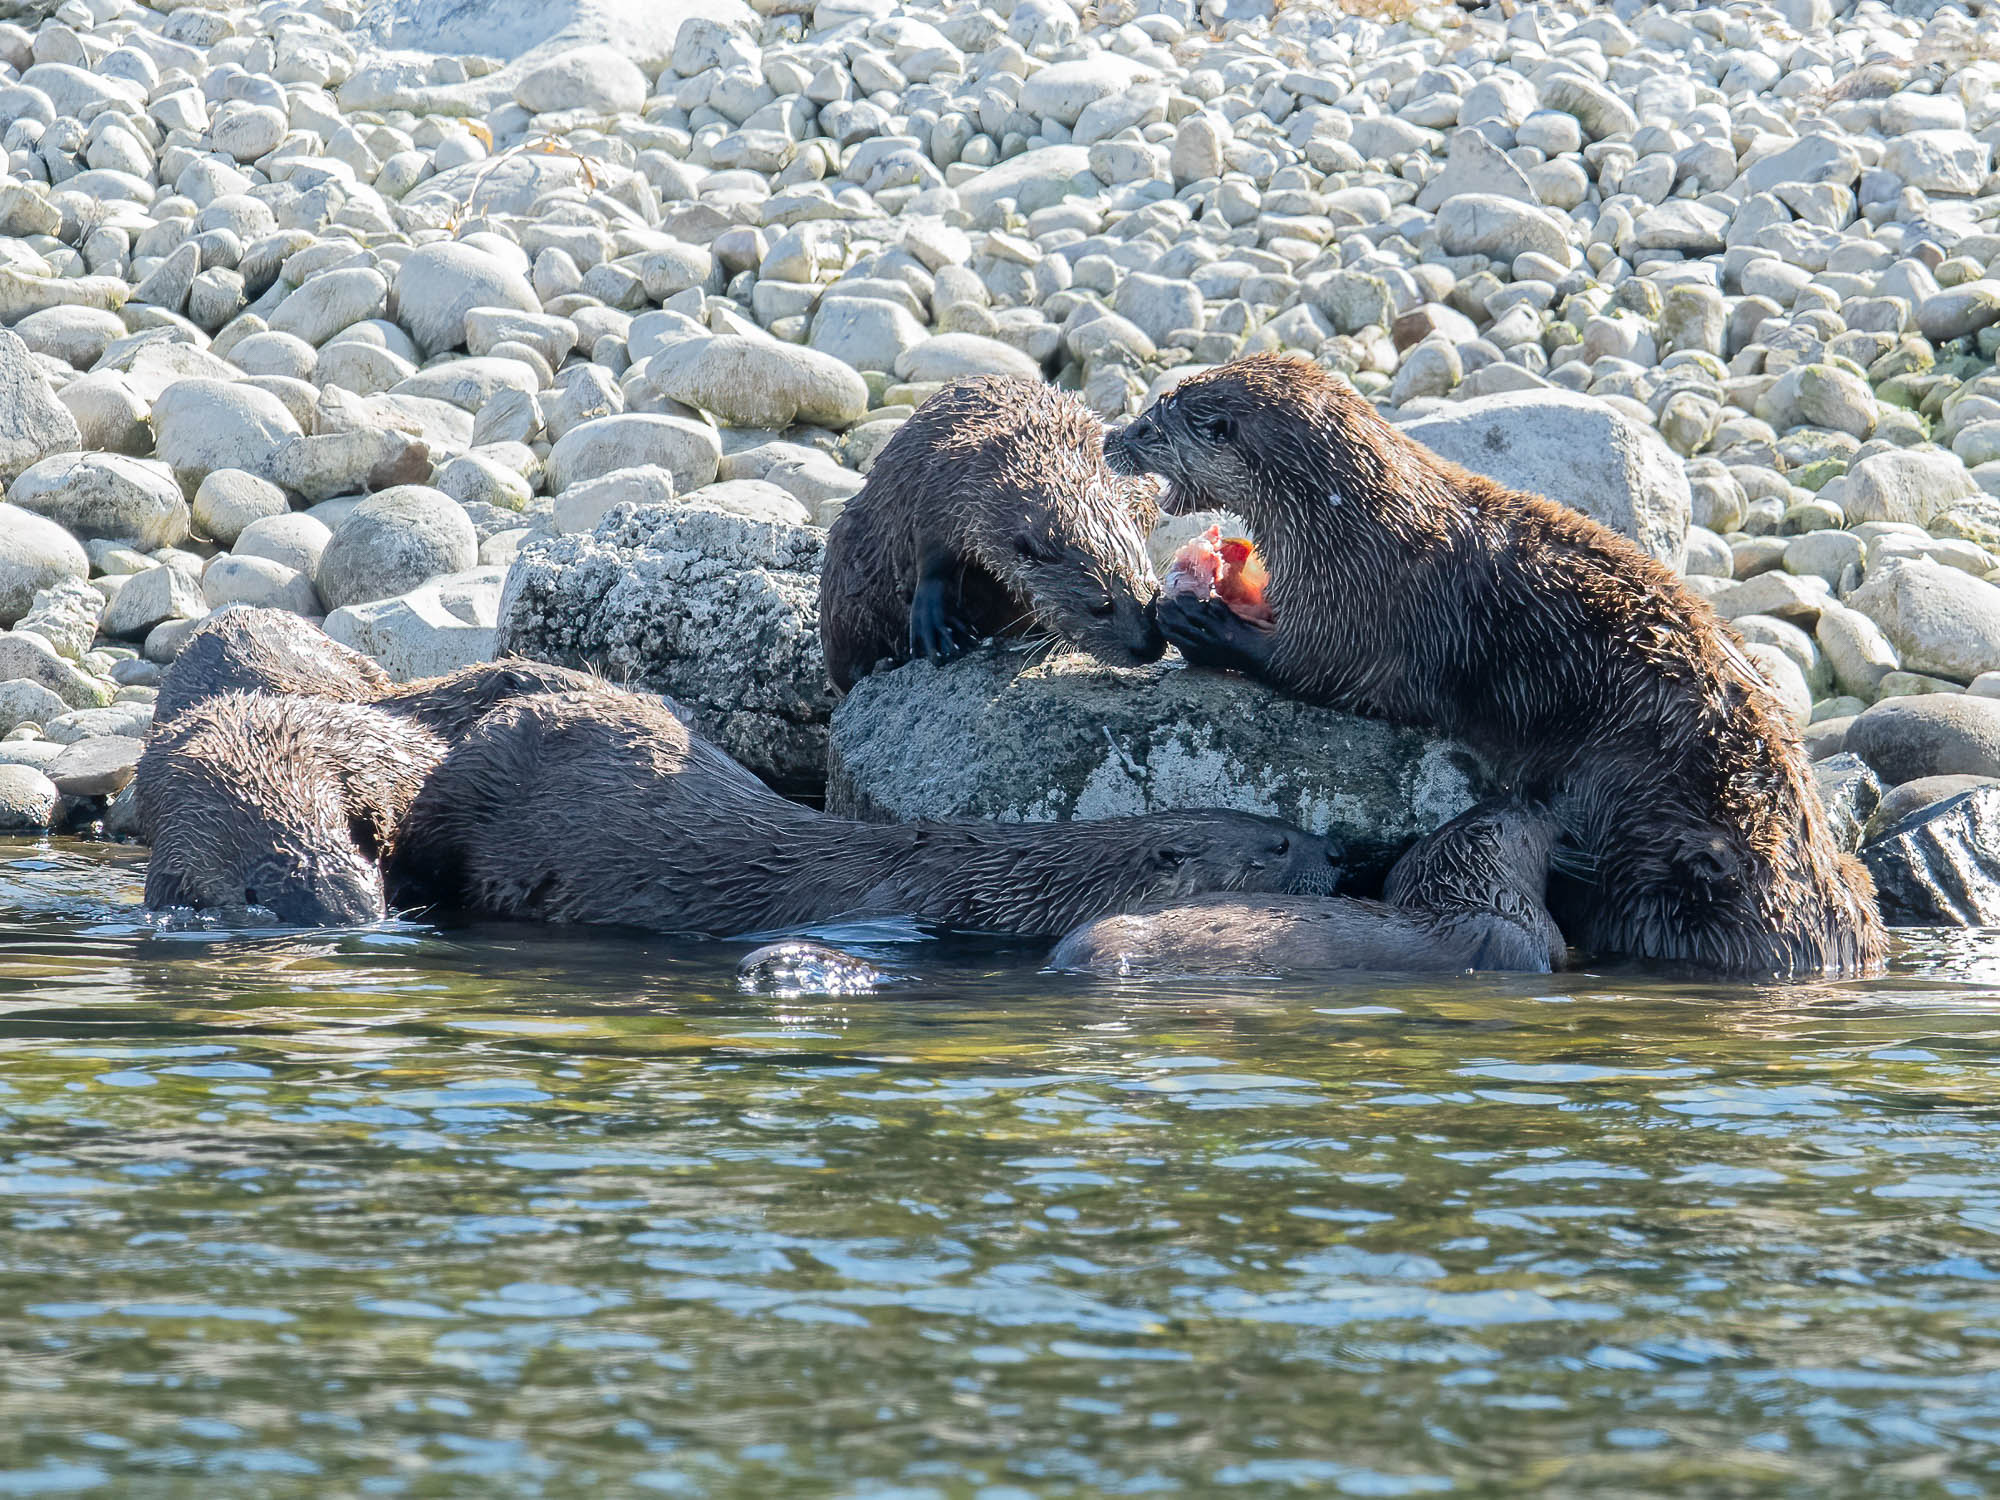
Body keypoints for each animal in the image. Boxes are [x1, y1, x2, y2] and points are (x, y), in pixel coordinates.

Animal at [816, 382, 1168, 700]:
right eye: (1101, 607)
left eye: (1154, 593)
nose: (1149, 647)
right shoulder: (945, 482)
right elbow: (931, 555)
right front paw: (937, 629)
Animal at [1104, 356, 1880, 988]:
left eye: (1151, 423)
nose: (1112, 437)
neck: (1351, 526)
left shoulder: (1372, 608)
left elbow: (1321, 664)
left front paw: (1196, 620)